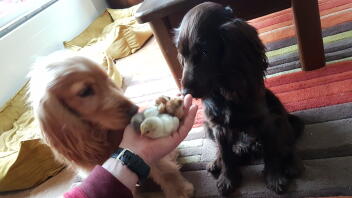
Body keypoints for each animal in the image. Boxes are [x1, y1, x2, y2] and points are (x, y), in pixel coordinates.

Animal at [175, 1, 306, 196]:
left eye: (205, 52)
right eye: (182, 54)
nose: (185, 92)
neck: (225, 92)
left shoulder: (265, 121)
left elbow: (271, 153)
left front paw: (274, 178)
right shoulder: (218, 126)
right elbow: (225, 153)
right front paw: (228, 179)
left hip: (279, 116)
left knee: (286, 143)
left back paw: (291, 165)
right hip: (207, 126)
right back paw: (218, 161)